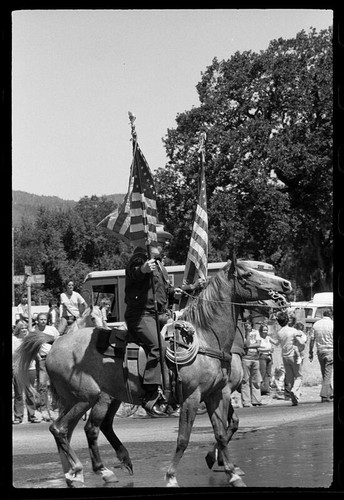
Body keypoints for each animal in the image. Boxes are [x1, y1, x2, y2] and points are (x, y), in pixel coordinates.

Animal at [14, 260, 292, 486]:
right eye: (248, 274)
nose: (285, 288)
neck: (205, 338)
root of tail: (55, 342)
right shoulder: (192, 397)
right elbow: (183, 438)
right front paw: (171, 476)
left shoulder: (217, 395)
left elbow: (223, 433)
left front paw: (231, 471)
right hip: (89, 397)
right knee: (67, 429)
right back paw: (85, 470)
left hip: (86, 398)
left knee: (73, 430)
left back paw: (76, 473)